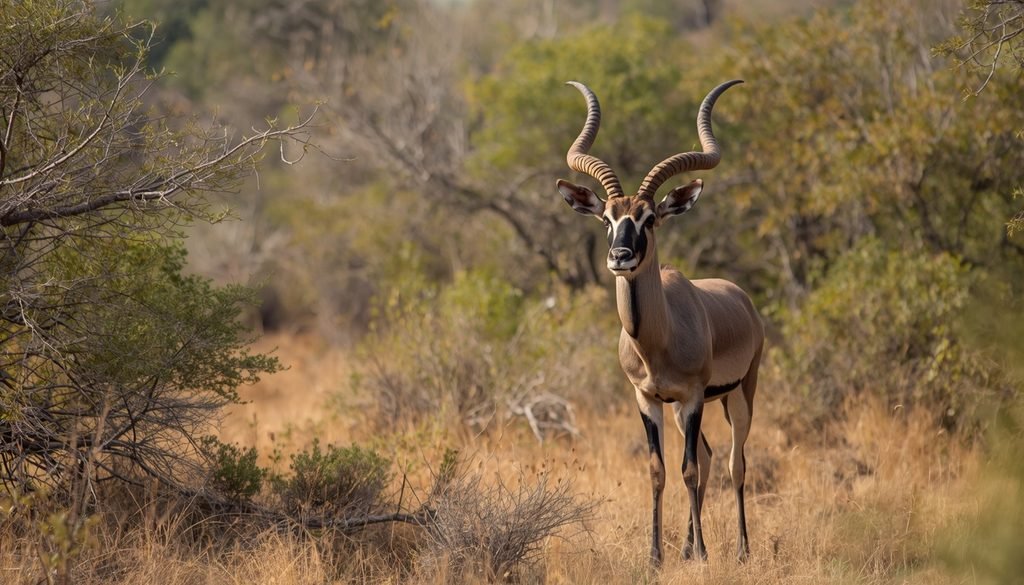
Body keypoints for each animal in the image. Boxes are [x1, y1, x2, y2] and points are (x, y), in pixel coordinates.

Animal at [556, 80, 763, 565]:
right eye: (608, 218)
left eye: (649, 218)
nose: (620, 257)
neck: (657, 340)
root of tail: (742, 299)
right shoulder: (648, 399)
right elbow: (658, 470)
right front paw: (656, 556)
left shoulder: (691, 397)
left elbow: (687, 470)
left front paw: (704, 554)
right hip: (690, 409)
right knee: (709, 457)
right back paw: (687, 548)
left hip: (738, 396)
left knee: (734, 463)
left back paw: (740, 550)